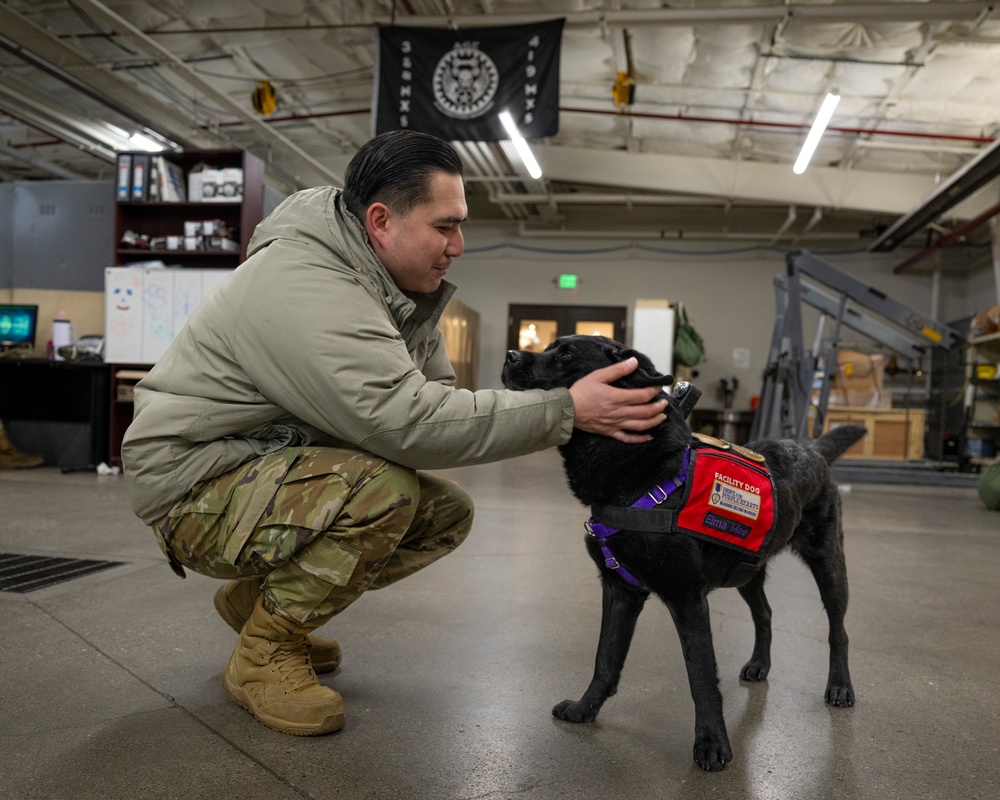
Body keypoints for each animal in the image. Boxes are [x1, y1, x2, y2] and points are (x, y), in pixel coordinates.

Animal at [504, 334, 864, 772]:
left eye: (568, 353)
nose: (510, 355)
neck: (640, 469)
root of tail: (811, 449)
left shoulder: (687, 598)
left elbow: (701, 676)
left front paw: (712, 745)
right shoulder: (621, 591)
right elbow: (605, 659)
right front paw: (585, 709)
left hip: (828, 563)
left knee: (837, 629)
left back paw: (840, 686)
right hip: (747, 569)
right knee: (764, 613)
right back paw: (760, 665)